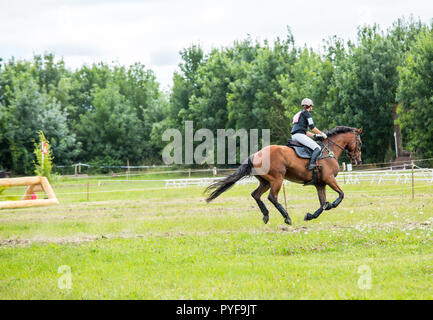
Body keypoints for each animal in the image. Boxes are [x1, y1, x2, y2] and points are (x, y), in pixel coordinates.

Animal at [206, 126, 362, 224]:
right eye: (359, 143)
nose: (358, 161)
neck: (329, 150)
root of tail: (256, 155)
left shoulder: (320, 184)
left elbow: (322, 204)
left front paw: (310, 216)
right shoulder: (329, 179)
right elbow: (340, 195)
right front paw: (331, 205)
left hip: (266, 182)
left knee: (256, 194)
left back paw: (266, 215)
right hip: (277, 179)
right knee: (272, 197)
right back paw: (287, 217)